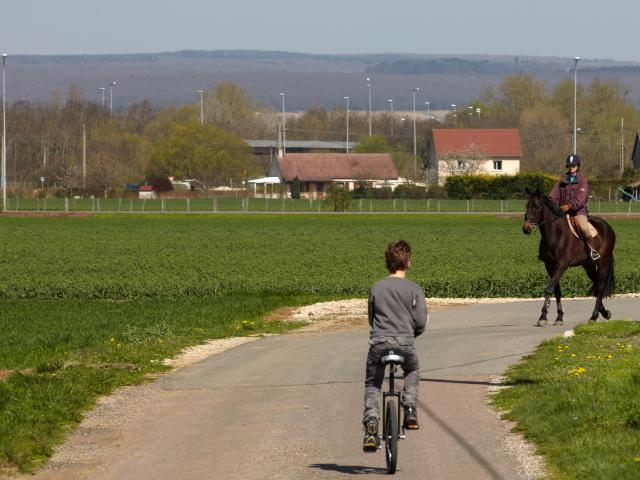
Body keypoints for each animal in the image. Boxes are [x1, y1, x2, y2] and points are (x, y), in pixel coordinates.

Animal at [524, 188, 616, 326]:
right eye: (527, 205)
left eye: (538, 206)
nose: (526, 228)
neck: (555, 234)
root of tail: (607, 226)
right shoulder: (549, 266)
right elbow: (556, 290)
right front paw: (559, 317)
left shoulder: (562, 265)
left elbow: (549, 289)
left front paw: (543, 317)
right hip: (588, 265)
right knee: (596, 283)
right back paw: (604, 312)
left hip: (602, 262)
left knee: (600, 286)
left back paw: (594, 316)